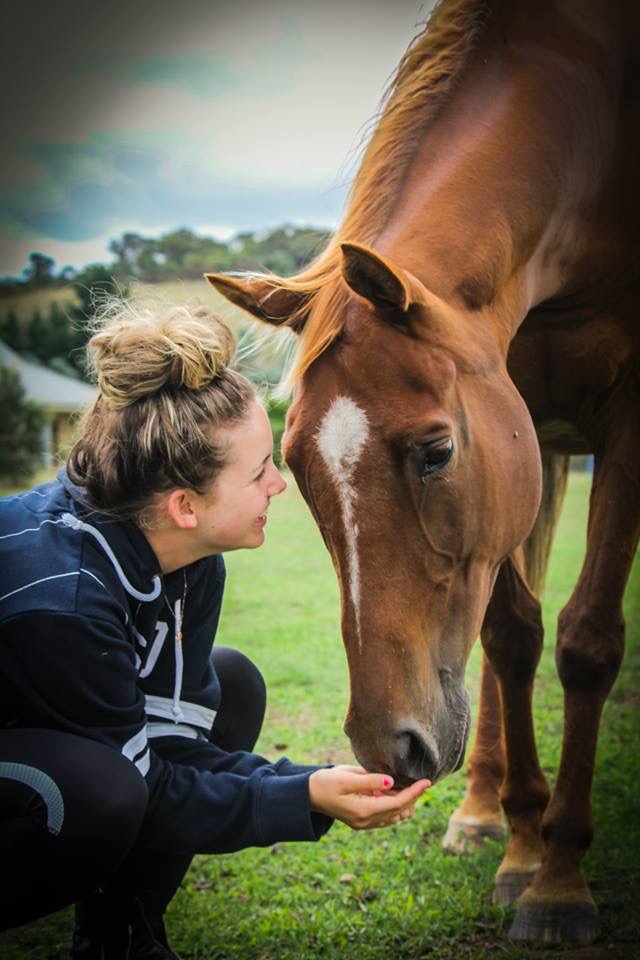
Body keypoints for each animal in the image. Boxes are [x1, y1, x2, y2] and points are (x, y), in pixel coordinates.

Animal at [208, 0, 636, 944]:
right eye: (294, 469)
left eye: (435, 451)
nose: (385, 748)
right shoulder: (517, 424)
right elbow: (511, 635)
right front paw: (526, 849)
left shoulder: (629, 417)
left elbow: (586, 641)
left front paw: (560, 881)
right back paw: (483, 818)